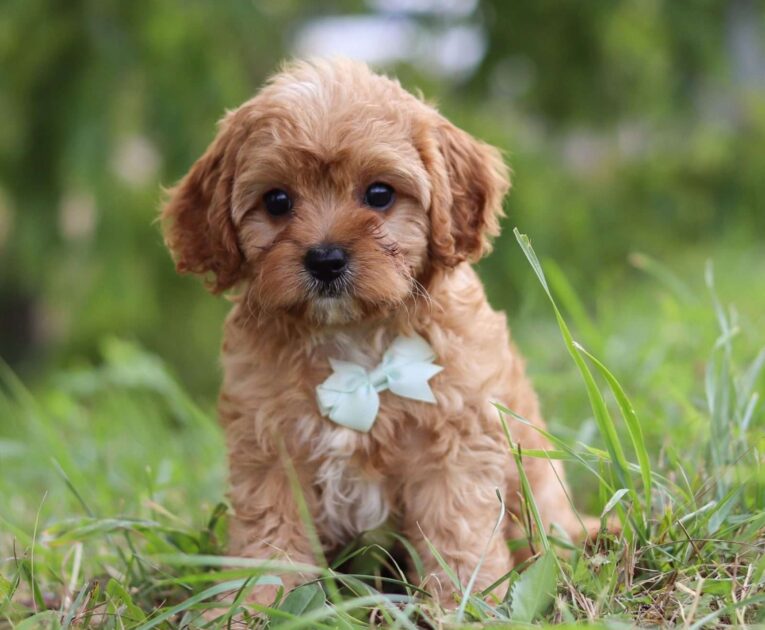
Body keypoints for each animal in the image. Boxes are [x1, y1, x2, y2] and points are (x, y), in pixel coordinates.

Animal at [161, 59, 584, 608]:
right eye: (276, 201)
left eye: (379, 194)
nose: (325, 258)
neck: (354, 335)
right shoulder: (271, 449)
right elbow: (270, 537)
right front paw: (255, 606)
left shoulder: (453, 445)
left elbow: (456, 530)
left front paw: (461, 602)